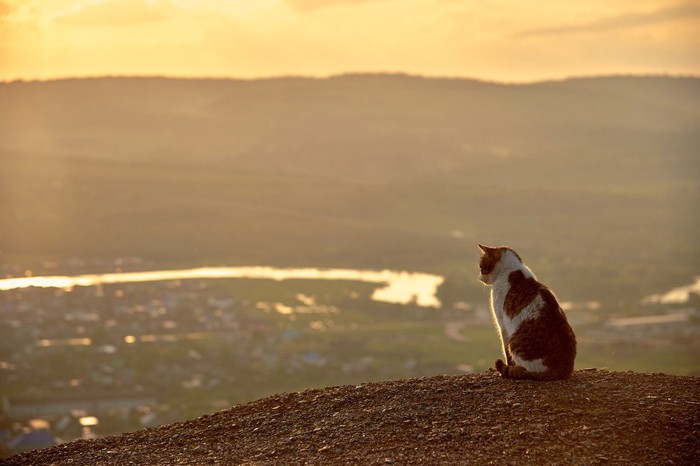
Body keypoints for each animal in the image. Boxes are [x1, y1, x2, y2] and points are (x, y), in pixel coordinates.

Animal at [478, 242, 576, 380]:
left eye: (481, 267)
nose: (479, 278)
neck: (511, 271)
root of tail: (562, 370)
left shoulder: (502, 325)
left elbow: (506, 353)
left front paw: (506, 368)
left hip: (515, 343)